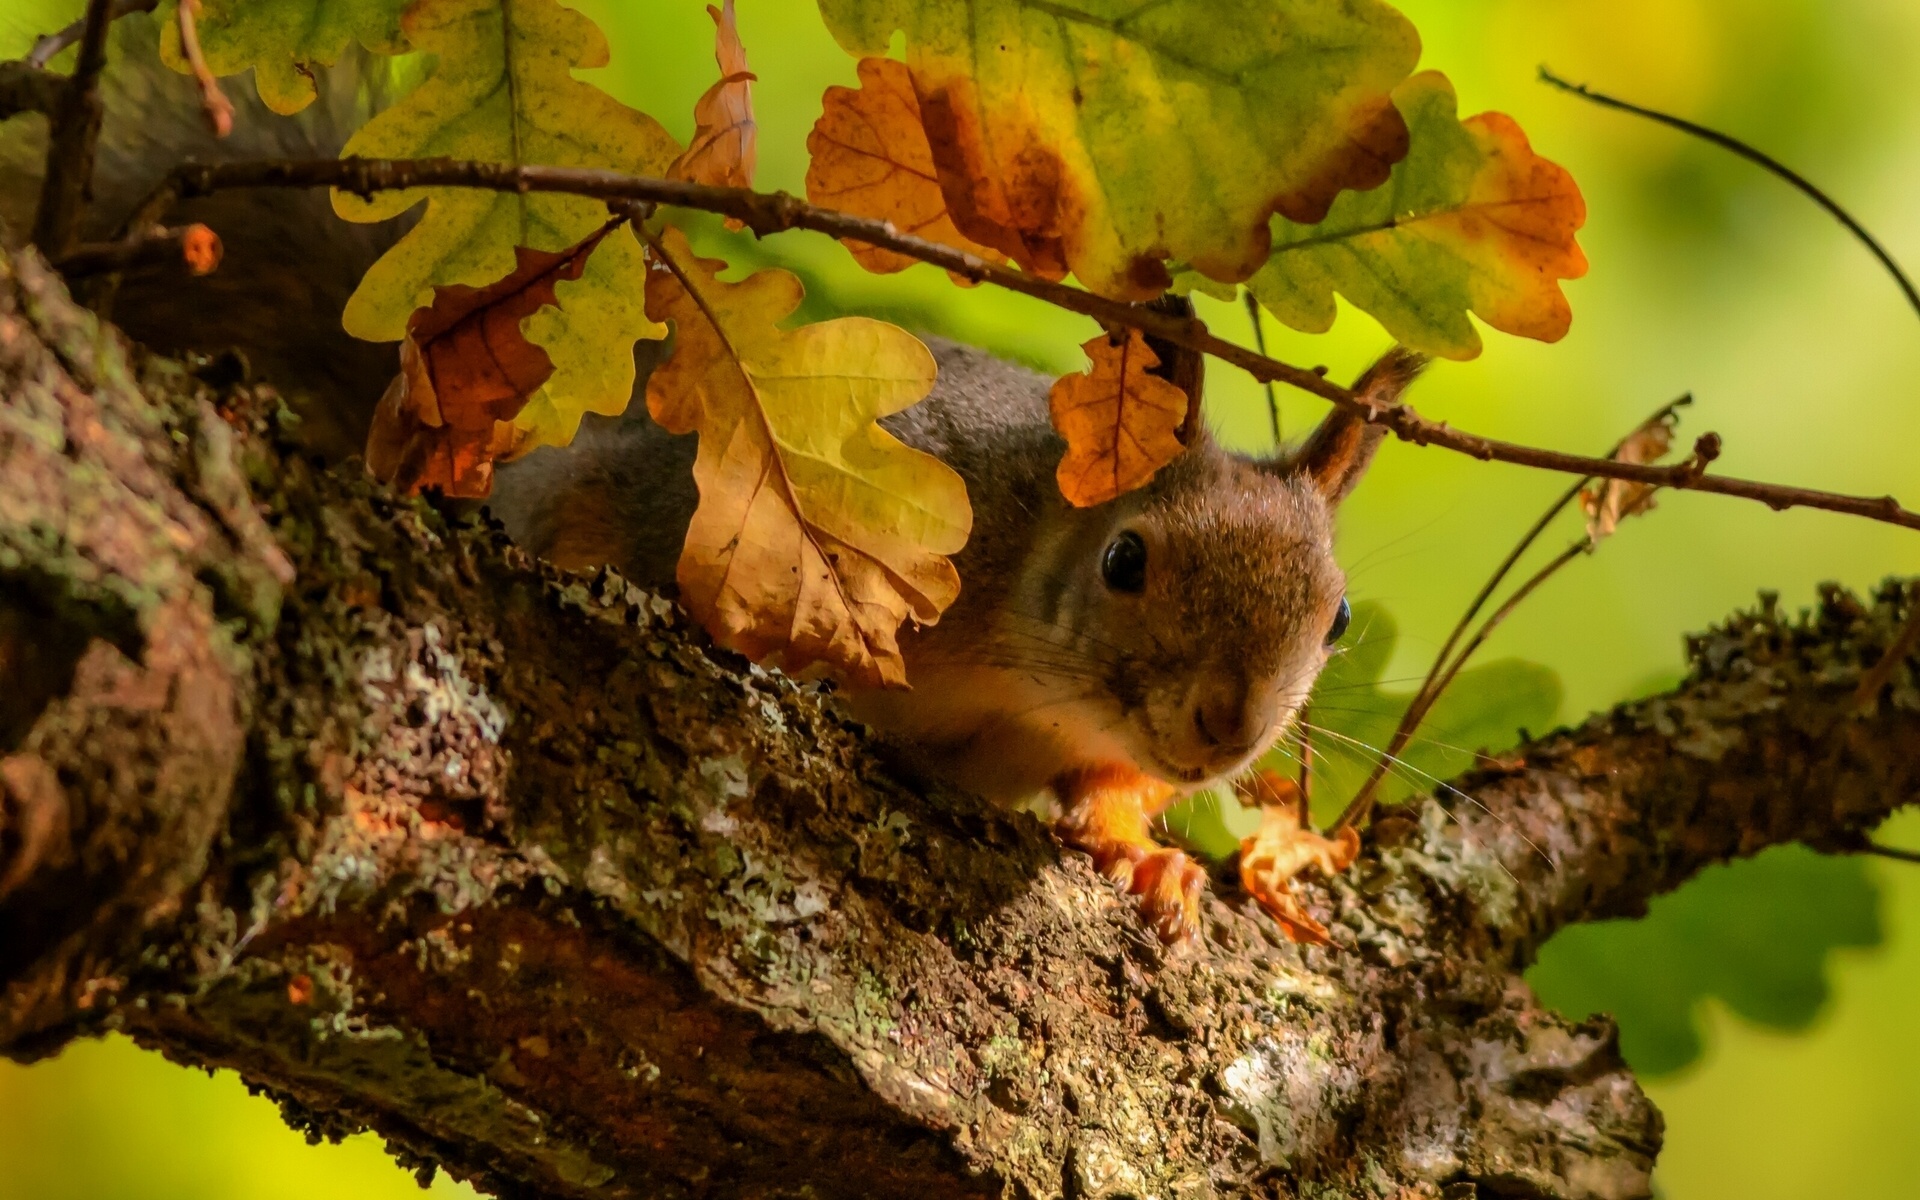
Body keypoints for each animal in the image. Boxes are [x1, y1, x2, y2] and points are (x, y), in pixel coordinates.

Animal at [3, 14, 1428, 940]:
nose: (1227, 729)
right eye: (1129, 559)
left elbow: (1112, 798)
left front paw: (1151, 858)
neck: (1029, 668)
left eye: (1338, 617)